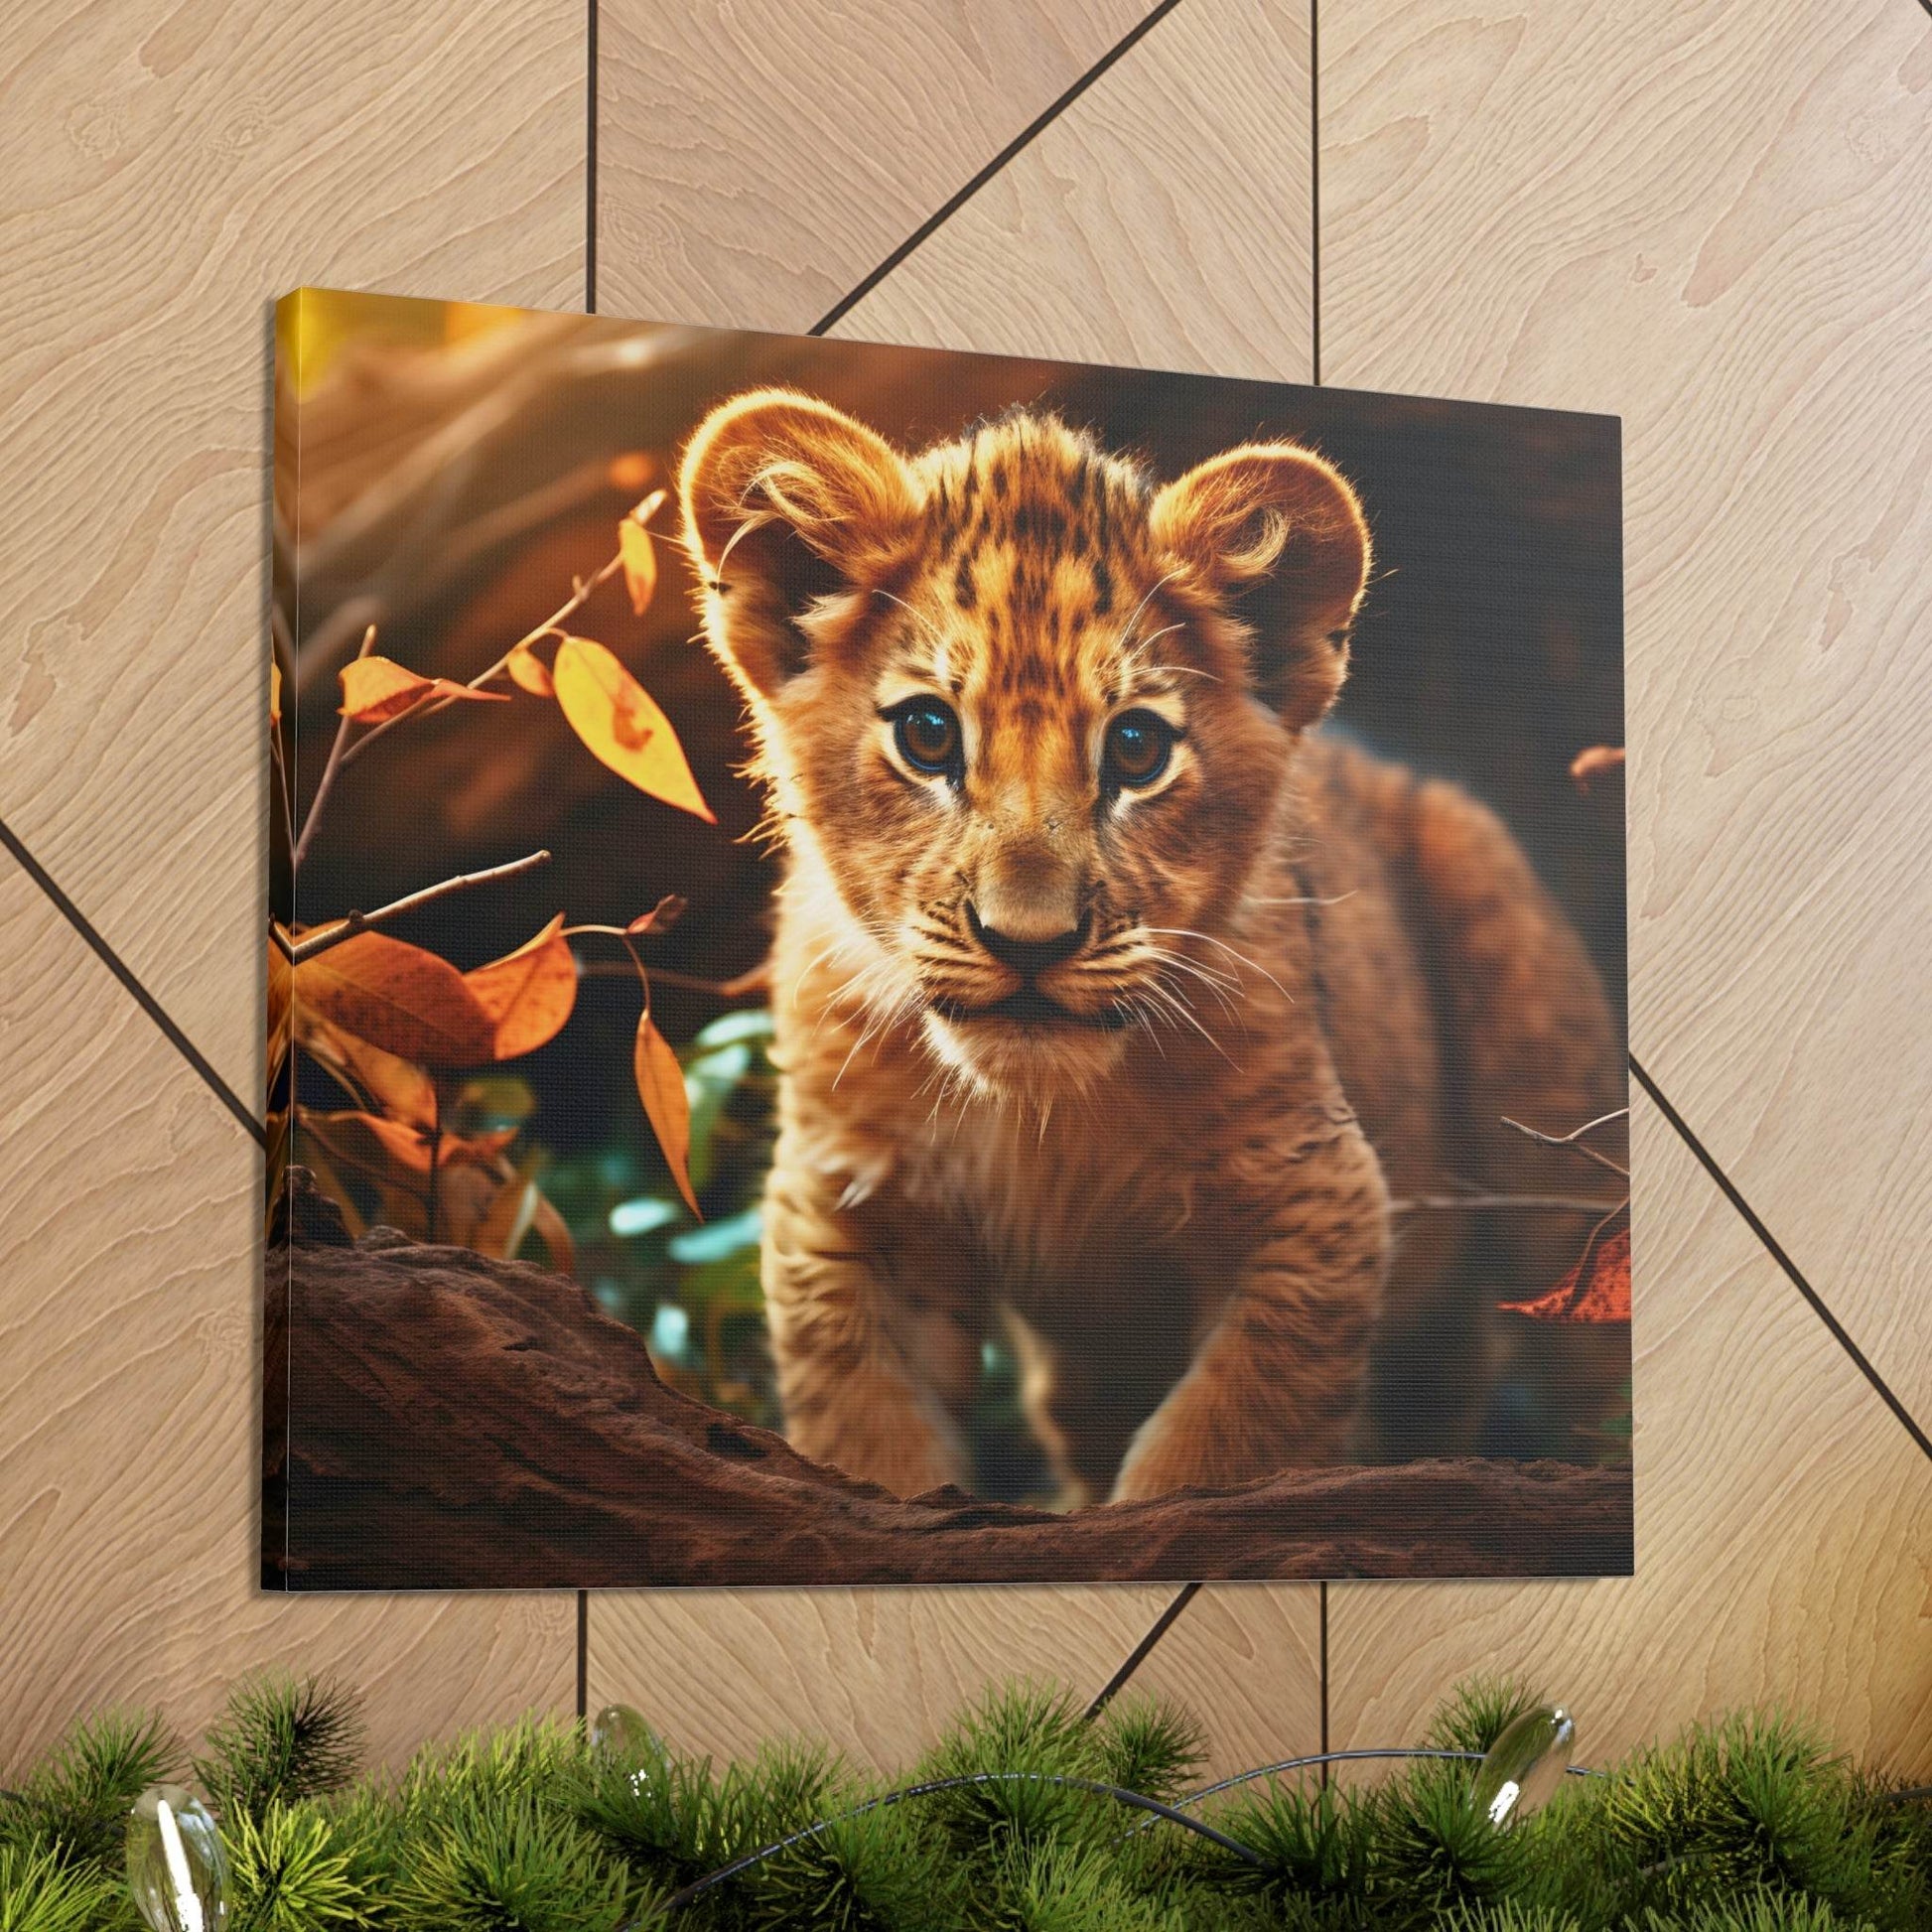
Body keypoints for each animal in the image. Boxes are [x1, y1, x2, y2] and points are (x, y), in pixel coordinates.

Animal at [676, 389, 1621, 1505]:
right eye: (927, 734)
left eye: (1134, 748)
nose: (1027, 942)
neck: (1043, 1117)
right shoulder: (852, 1211)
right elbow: (874, 1443)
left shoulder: (1314, 1195)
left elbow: (1214, 1446)